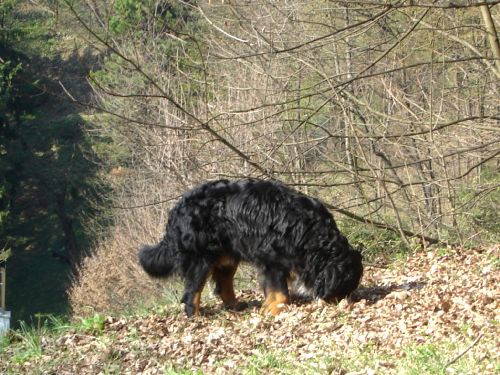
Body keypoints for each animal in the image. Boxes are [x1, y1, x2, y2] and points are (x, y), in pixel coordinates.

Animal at [139, 179, 362, 318]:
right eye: (342, 288)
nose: (341, 304)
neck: (310, 233)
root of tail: (177, 209)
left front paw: (267, 307)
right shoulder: (272, 259)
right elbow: (281, 293)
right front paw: (272, 310)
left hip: (227, 256)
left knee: (223, 284)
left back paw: (235, 306)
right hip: (200, 259)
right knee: (192, 292)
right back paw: (195, 316)